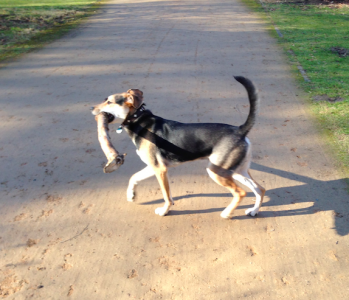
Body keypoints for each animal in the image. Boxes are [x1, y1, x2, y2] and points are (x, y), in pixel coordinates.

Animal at [91, 77, 266, 218]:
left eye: (109, 101)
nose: (91, 108)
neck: (138, 119)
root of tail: (240, 130)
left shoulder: (160, 169)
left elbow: (166, 196)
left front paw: (164, 211)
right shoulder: (153, 167)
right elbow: (134, 177)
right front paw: (131, 195)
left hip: (217, 171)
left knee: (241, 192)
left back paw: (226, 213)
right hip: (236, 171)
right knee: (260, 189)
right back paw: (254, 211)